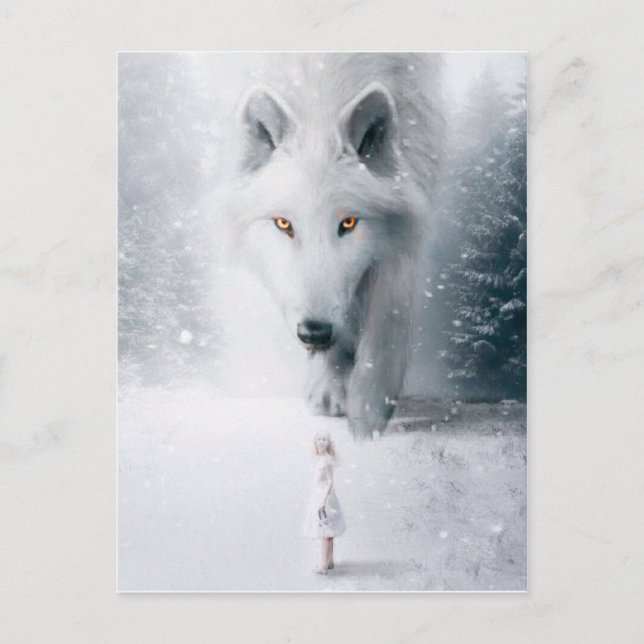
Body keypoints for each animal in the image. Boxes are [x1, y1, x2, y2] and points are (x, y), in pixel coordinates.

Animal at [222, 53, 442, 438]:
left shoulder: (405, 216)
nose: (315, 333)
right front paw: (330, 382)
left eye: (348, 223)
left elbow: (388, 316)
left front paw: (369, 410)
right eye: (284, 224)